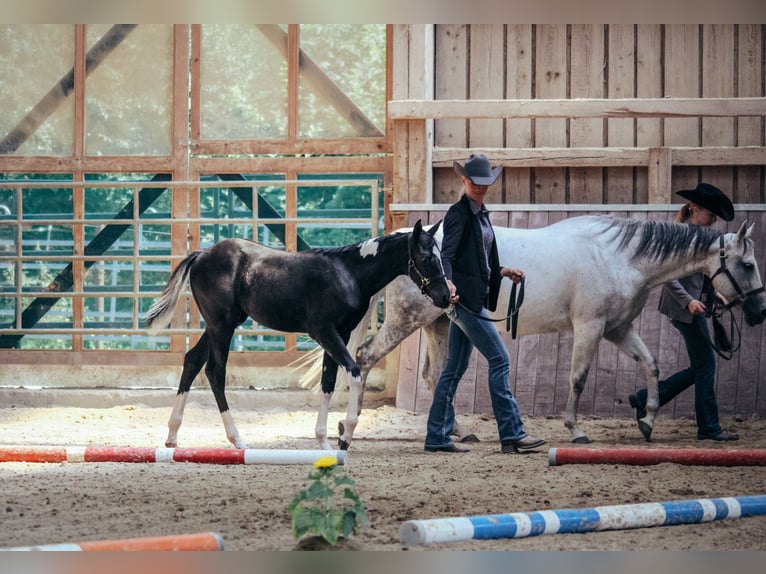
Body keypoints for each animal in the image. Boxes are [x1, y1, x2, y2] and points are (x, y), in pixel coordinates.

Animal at [144, 220, 451, 450]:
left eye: (440, 255)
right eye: (426, 257)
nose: (446, 296)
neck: (349, 273)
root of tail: (201, 255)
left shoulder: (340, 334)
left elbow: (328, 382)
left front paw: (326, 443)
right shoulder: (324, 332)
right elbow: (352, 372)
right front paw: (345, 436)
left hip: (219, 324)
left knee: (192, 360)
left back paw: (172, 436)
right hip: (222, 326)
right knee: (215, 372)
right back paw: (237, 440)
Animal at [302, 215, 766, 447]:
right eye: (747, 264)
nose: (760, 311)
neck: (619, 257)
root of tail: (397, 240)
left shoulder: (618, 329)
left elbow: (651, 365)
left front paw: (648, 420)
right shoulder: (591, 327)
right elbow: (578, 378)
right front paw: (575, 430)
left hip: (438, 323)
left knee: (436, 377)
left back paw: (455, 432)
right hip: (406, 321)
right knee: (364, 359)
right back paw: (348, 427)